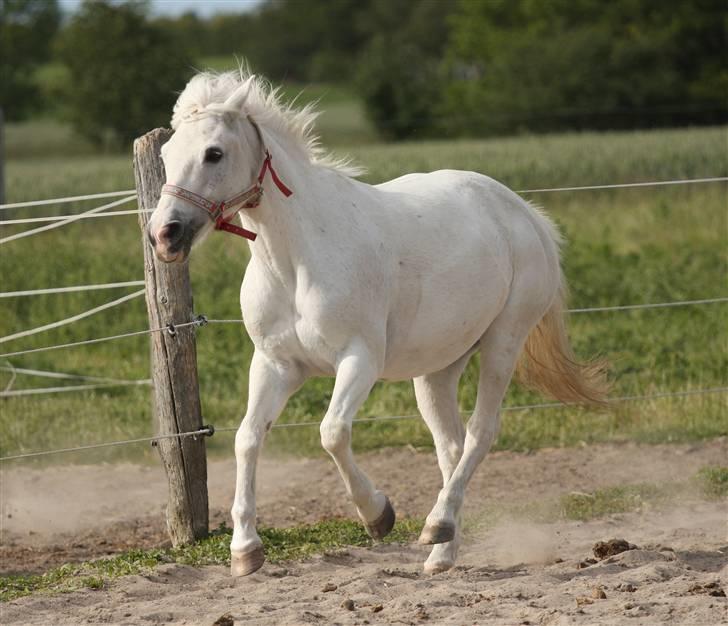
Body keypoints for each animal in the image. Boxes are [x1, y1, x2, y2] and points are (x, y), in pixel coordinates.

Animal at [148, 72, 608, 576]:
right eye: (166, 156)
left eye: (214, 152)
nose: (165, 235)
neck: (297, 260)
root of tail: (527, 215)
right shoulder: (274, 364)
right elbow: (248, 439)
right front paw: (246, 551)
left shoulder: (360, 359)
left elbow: (332, 433)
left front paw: (378, 515)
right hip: (438, 369)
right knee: (451, 447)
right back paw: (440, 552)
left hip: (502, 343)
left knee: (480, 433)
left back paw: (436, 526)